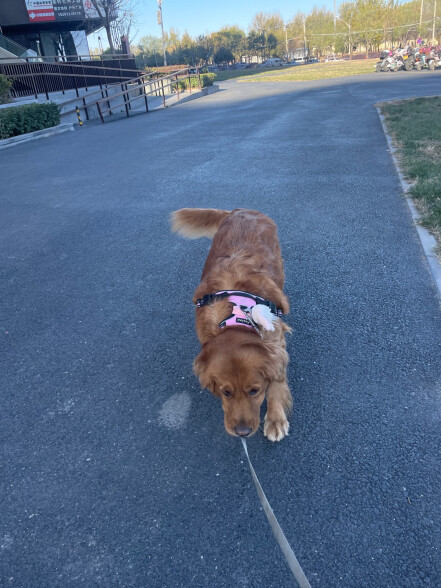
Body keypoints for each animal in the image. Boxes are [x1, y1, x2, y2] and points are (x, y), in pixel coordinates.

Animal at [170, 208, 290, 440]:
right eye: (226, 392)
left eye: (254, 391)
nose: (242, 432)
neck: (237, 317)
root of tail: (241, 210)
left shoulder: (276, 337)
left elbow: (277, 380)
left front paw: (275, 418)